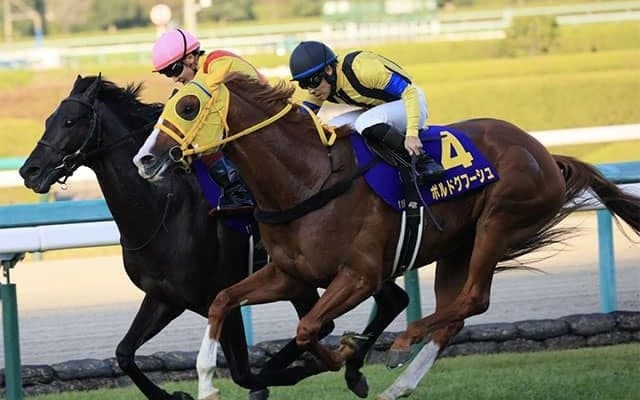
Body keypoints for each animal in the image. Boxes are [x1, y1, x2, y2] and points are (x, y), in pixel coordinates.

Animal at [19, 75, 409, 400]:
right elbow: (124, 354)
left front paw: (294, 371)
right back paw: (355, 370)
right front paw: (175, 395)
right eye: (49, 119)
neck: (163, 209)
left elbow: (243, 373)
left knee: (342, 315)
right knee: (392, 299)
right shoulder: (164, 298)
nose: (29, 171)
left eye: (70, 121)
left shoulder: (217, 296)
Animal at [133, 72, 640, 400]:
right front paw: (206, 381)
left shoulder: (359, 275)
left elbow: (309, 326)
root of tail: (546, 153)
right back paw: (398, 385)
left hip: (499, 221)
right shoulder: (289, 274)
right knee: (455, 315)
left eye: (188, 107)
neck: (308, 180)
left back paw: (401, 342)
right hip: (458, 246)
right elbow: (225, 302)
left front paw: (339, 357)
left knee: (473, 299)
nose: (145, 160)